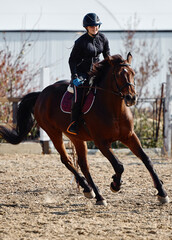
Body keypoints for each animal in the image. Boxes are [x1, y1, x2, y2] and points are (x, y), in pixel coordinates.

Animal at [0, 53, 169, 206]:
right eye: (118, 75)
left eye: (133, 73)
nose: (131, 98)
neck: (114, 109)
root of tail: (41, 94)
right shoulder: (101, 142)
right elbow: (119, 166)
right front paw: (115, 184)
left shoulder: (129, 136)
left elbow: (147, 160)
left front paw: (162, 193)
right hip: (54, 133)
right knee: (68, 160)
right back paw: (93, 192)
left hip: (76, 138)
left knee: (82, 164)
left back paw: (93, 192)